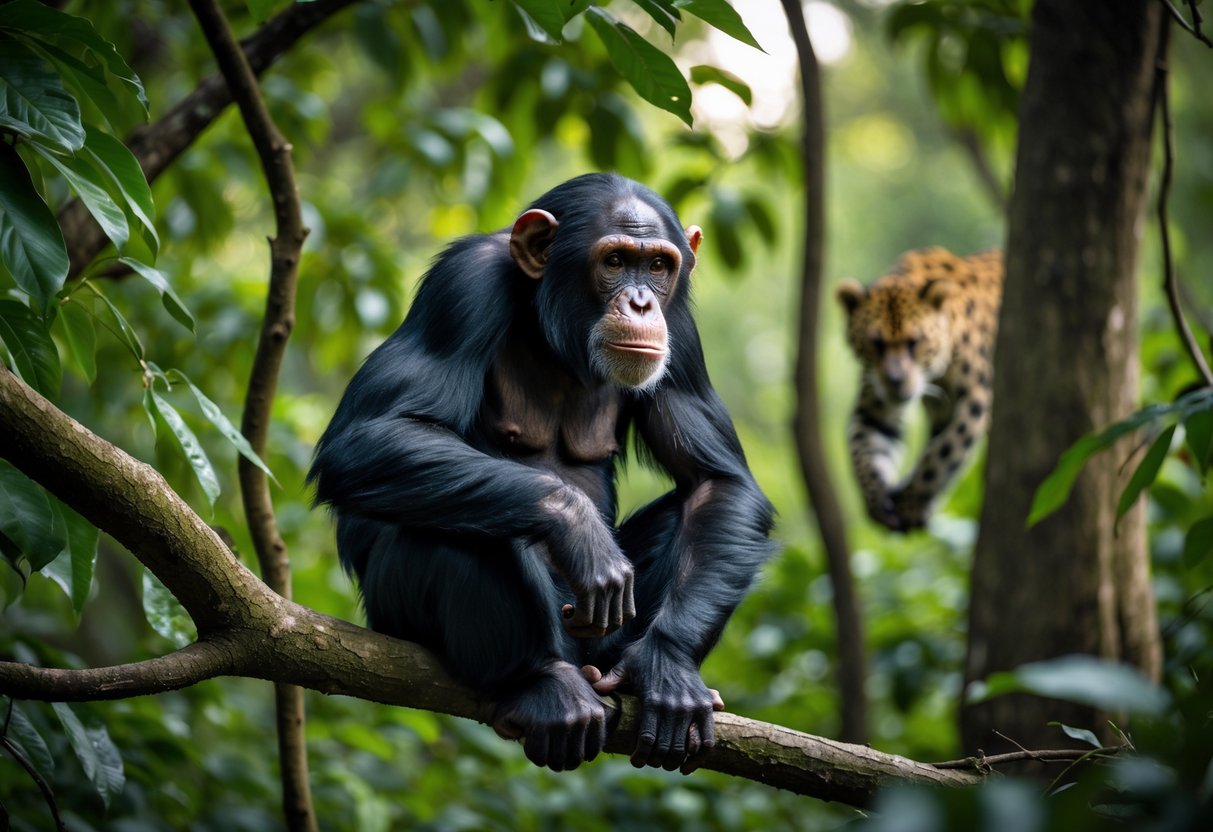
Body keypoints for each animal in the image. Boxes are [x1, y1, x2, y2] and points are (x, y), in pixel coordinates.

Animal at [836, 247, 1003, 532]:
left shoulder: (977, 401)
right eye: (876, 343)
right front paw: (877, 498)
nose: (895, 380)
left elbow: (942, 453)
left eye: (914, 342)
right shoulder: (876, 406)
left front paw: (909, 503)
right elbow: (863, 449)